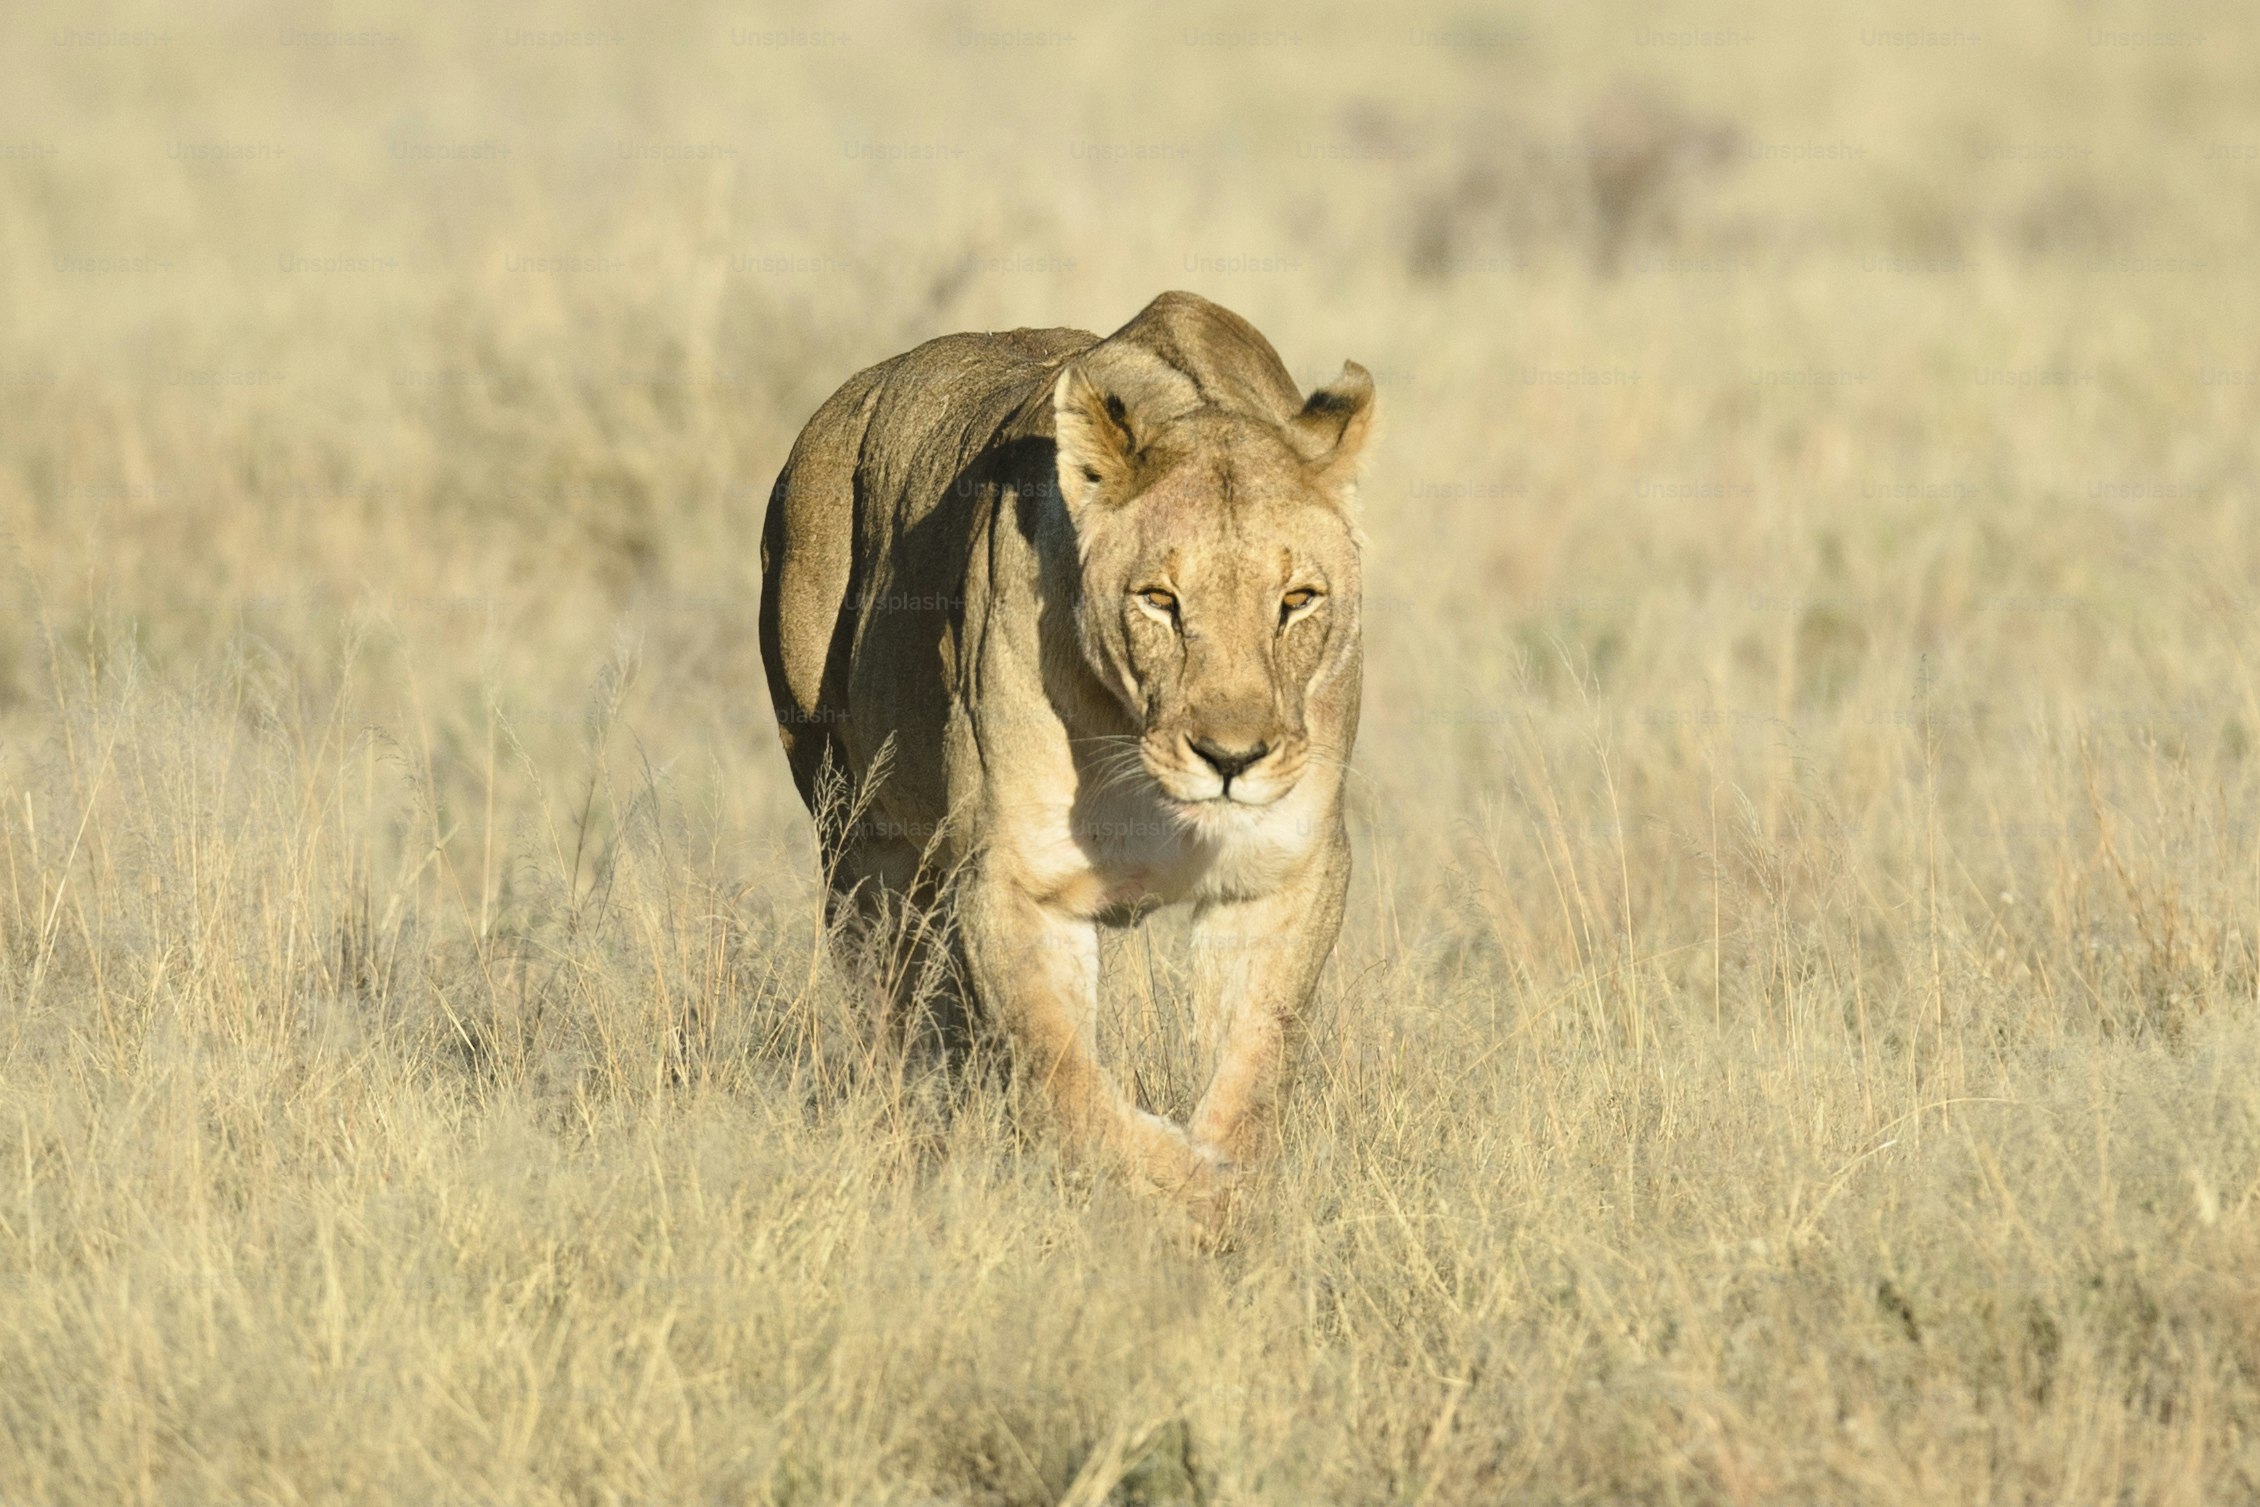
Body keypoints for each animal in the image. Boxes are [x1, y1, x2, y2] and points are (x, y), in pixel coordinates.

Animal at [758, 291, 1375, 1218]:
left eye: (1297, 600)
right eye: (1159, 600)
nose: (1232, 759)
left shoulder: (1286, 869)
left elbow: (1256, 1059)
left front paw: (1228, 1197)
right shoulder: (1014, 876)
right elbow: (1066, 1082)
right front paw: (1186, 1187)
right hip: (858, 840)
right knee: (901, 1022)